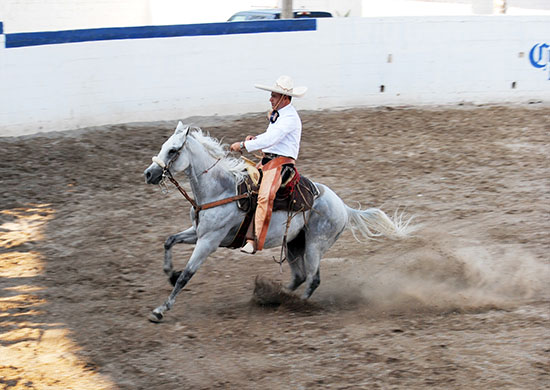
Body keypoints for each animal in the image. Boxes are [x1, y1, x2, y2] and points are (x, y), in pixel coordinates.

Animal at [144, 122, 412, 322]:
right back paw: (272, 298)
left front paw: (160, 310)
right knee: (300, 276)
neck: (221, 189)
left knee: (313, 279)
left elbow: (187, 275)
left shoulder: (209, 241)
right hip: (294, 244)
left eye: (173, 150)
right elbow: (169, 241)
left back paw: (298, 304)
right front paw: (169, 273)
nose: (148, 174)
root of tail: (343, 206)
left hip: (315, 245)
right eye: (164, 146)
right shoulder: (198, 232)